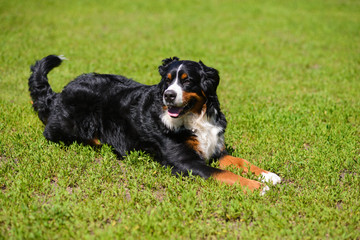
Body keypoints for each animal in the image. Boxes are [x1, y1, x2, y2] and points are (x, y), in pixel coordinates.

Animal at [28, 55, 282, 194]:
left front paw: (268, 175)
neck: (195, 118)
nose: (168, 95)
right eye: (167, 81)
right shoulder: (185, 162)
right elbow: (225, 174)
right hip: (70, 129)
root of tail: (58, 95)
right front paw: (258, 187)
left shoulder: (215, 148)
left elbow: (240, 161)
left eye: (187, 80)